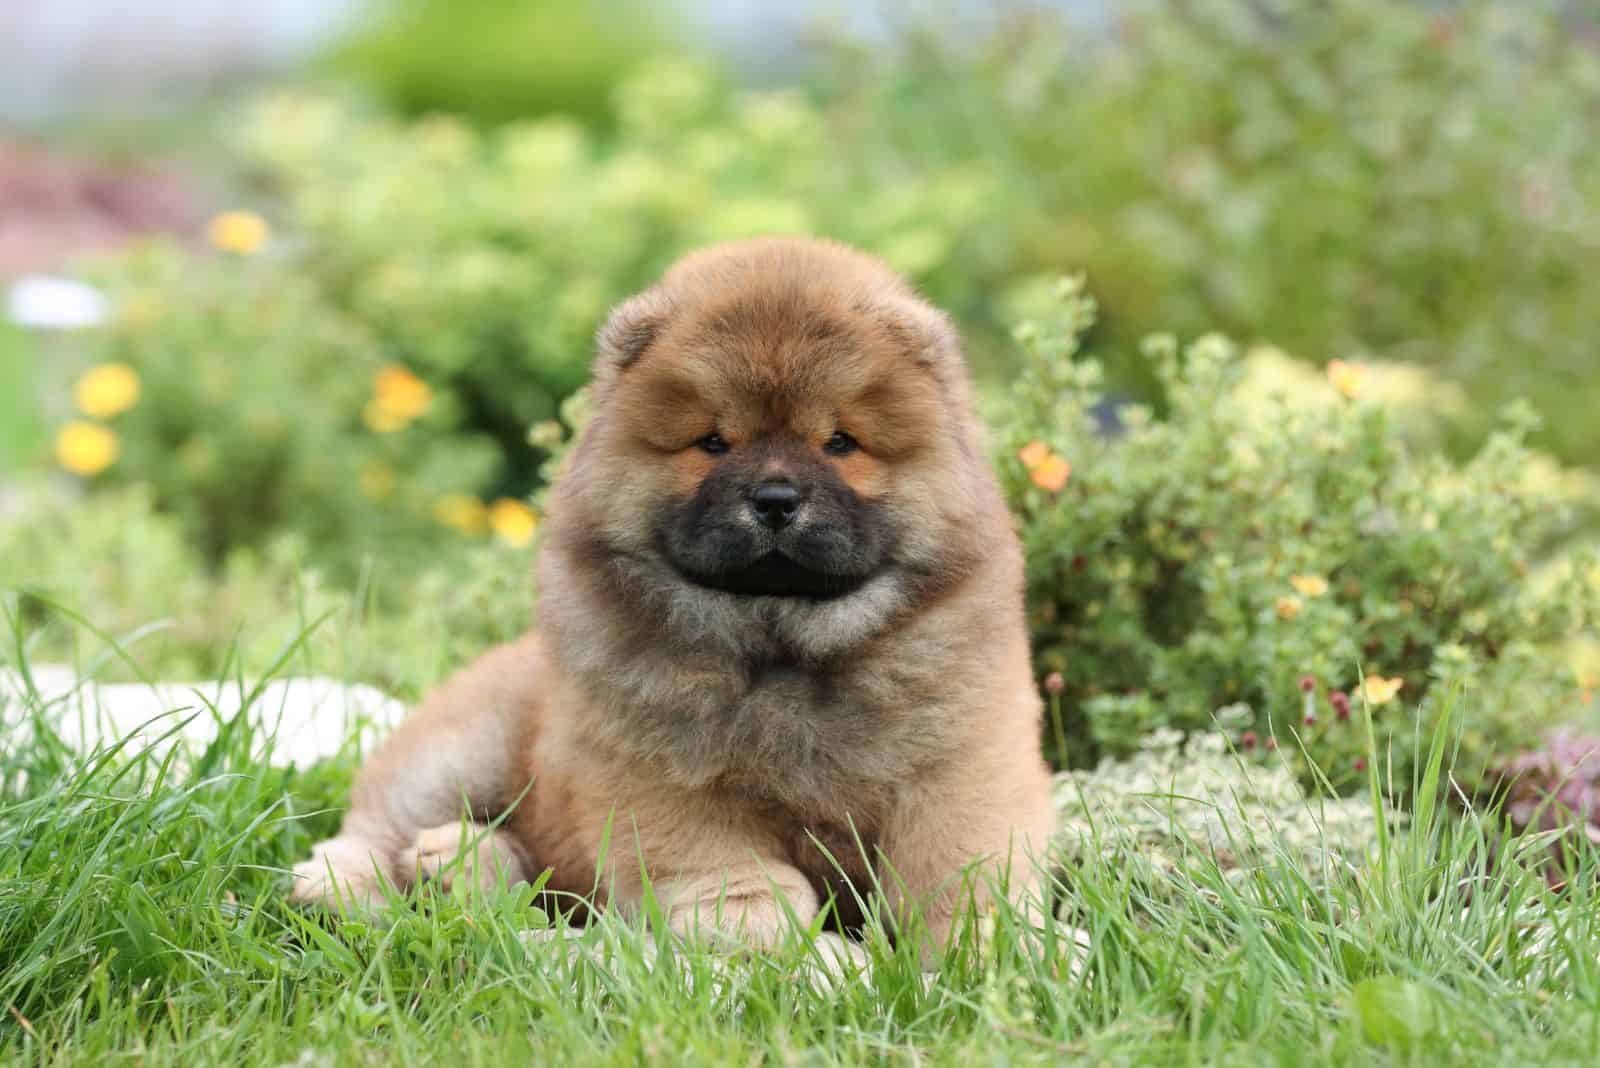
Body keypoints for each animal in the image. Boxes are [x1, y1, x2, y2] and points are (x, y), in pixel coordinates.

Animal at [294, 239, 1056, 959]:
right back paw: (351, 882)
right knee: (378, 820)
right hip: (467, 745)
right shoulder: (656, 759)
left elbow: (957, 861)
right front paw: (759, 922)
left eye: (840, 443)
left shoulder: (956, 756)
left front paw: (987, 946)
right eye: (712, 443)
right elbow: (716, 856)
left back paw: (462, 868)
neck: (782, 643)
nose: (775, 498)